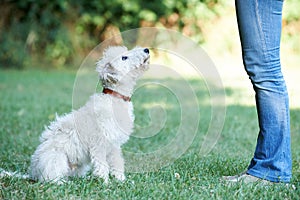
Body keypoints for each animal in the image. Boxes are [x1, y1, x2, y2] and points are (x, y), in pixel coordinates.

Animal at [29, 46, 149, 183]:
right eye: (124, 57)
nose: (146, 49)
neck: (114, 97)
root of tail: (33, 173)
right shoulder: (99, 143)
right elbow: (102, 165)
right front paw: (105, 183)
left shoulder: (114, 145)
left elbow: (117, 162)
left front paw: (121, 180)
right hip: (56, 159)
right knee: (51, 178)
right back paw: (62, 182)